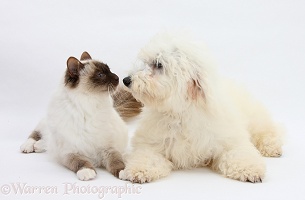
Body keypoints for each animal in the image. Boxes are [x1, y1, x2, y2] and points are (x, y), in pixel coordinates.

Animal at [19, 52, 141, 181]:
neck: (89, 105)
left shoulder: (108, 148)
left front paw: (124, 172)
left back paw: (39, 146)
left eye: (109, 70)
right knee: (35, 134)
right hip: (47, 127)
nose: (118, 78)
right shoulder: (70, 152)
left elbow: (117, 161)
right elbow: (81, 162)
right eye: (100, 75)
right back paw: (28, 146)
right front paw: (87, 172)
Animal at [119, 31, 282, 183]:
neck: (181, 111)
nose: (126, 80)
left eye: (158, 64)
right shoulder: (150, 144)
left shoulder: (230, 140)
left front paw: (250, 169)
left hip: (255, 117)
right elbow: (147, 157)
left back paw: (272, 147)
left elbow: (238, 153)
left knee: (266, 130)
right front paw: (138, 170)